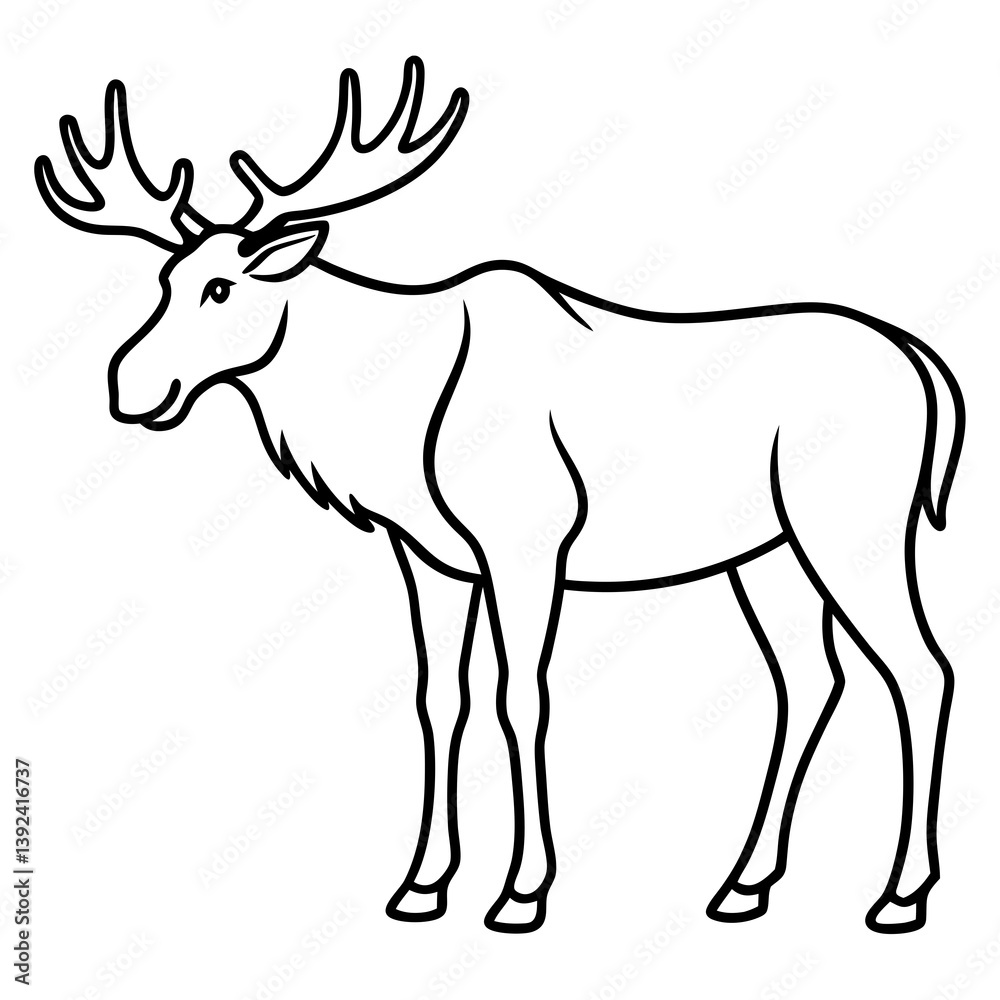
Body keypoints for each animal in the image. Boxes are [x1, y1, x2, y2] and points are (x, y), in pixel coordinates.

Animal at [36, 57, 965, 935]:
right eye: (163, 280)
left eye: (222, 287)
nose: (128, 384)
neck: (390, 427)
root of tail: (926, 366)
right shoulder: (431, 557)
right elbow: (440, 699)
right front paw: (422, 884)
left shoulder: (528, 545)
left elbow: (524, 697)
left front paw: (523, 891)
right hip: (765, 554)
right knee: (810, 683)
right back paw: (743, 883)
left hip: (850, 529)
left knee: (922, 669)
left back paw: (900, 894)